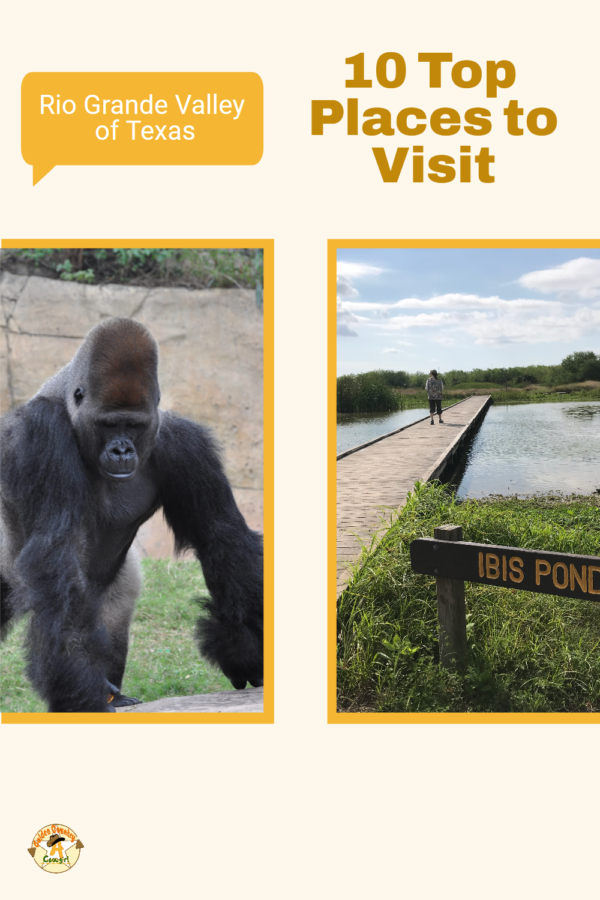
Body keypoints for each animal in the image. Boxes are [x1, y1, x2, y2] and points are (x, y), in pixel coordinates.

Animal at [0, 316, 262, 712]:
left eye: (134, 425)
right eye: (109, 424)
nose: (121, 450)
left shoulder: (184, 443)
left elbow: (220, 535)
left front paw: (245, 646)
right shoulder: (41, 434)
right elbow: (55, 551)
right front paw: (80, 687)